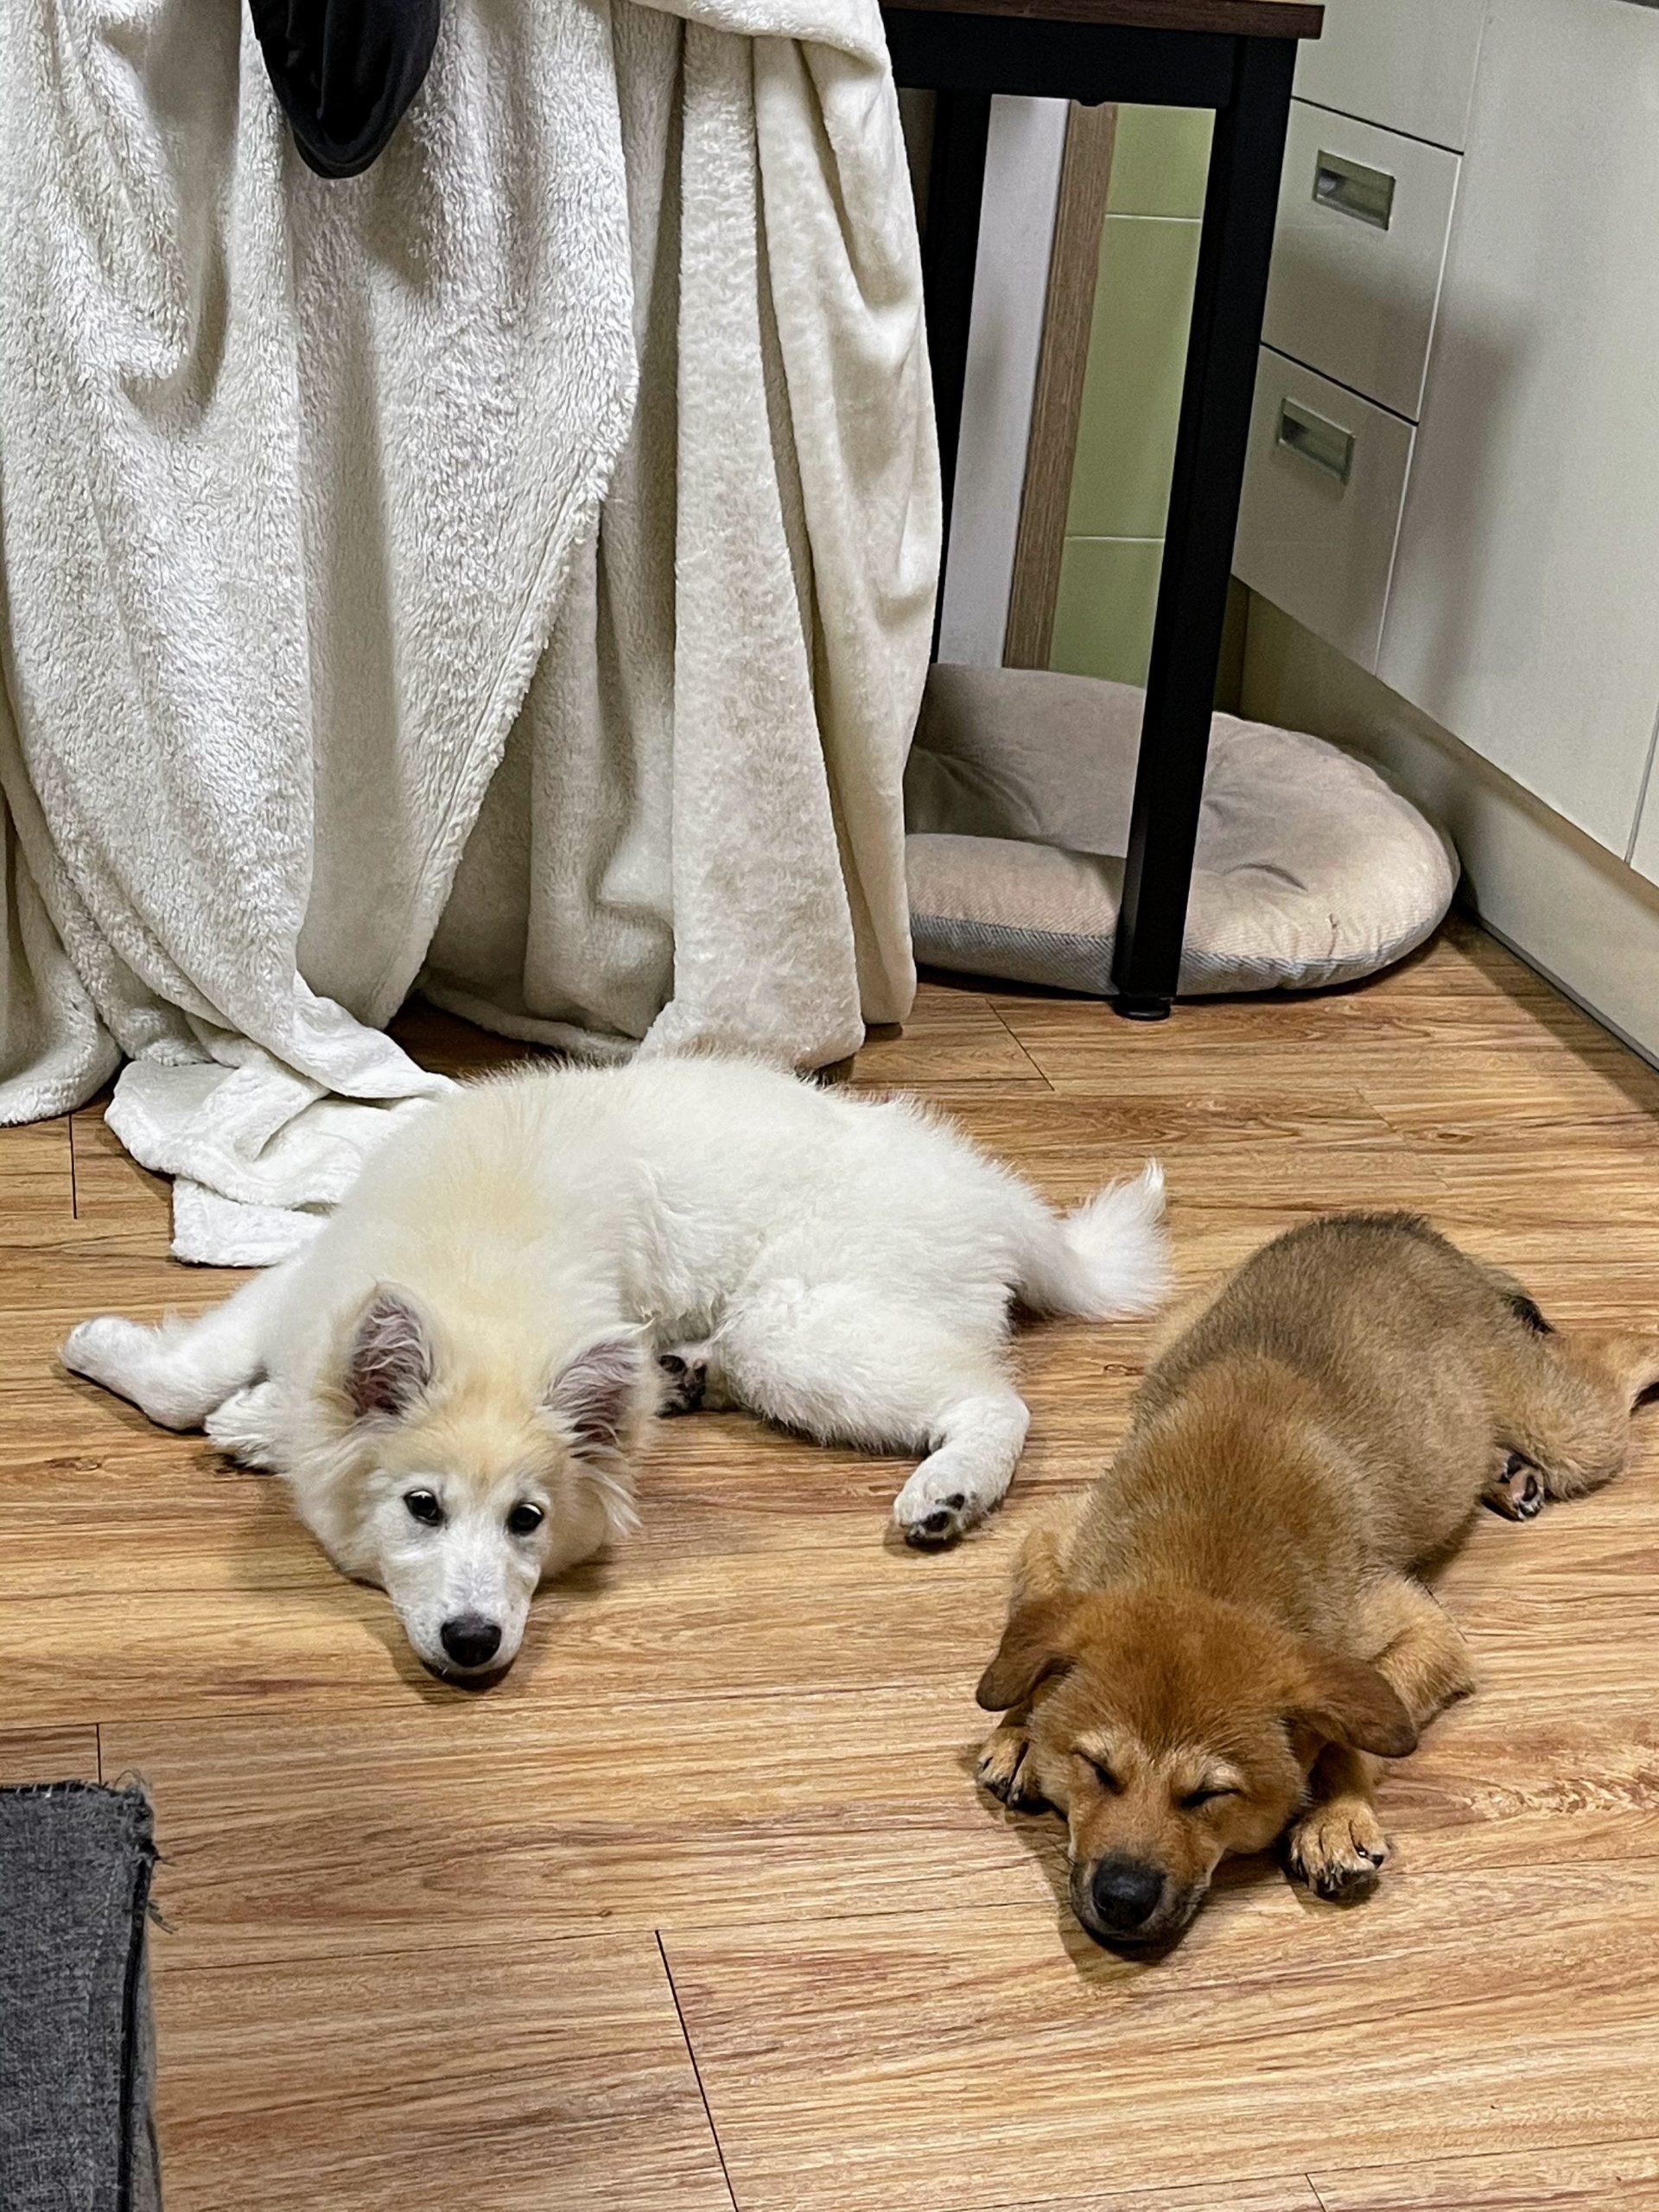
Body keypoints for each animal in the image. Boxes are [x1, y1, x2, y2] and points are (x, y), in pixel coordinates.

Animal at [62, 1055, 1166, 1678]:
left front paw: (129, 1362)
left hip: (800, 1323)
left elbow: (190, 1390)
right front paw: (250, 1414)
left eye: (529, 1521)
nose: (476, 1643)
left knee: (992, 1395)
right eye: (422, 1508)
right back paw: (679, 1373)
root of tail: (1001, 1199)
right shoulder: (306, 1281)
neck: (483, 1277)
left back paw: (949, 1491)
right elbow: (201, 1380)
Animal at [974, 1212, 1659, 1953]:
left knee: (1622, 1353)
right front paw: (1021, 1727)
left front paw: (1338, 1814)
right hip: (1172, 1336)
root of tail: (1394, 1225)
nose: (1123, 1900)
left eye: (1210, 1794)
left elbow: (1354, 1718)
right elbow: (1033, 1628)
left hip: (1569, 1432)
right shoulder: (1055, 1533)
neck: (1208, 1570)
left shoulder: (1420, 1627)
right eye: (1098, 1771)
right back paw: (1504, 1471)